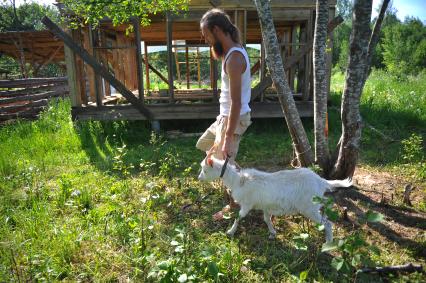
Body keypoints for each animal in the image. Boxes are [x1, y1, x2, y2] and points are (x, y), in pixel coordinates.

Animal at [198, 156, 352, 243]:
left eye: (205, 170)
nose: (199, 178)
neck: (238, 181)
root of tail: (321, 181)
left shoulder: (247, 204)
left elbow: (238, 217)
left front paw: (230, 232)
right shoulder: (266, 206)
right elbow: (266, 219)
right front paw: (272, 233)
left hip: (309, 208)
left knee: (327, 223)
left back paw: (328, 243)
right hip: (313, 205)